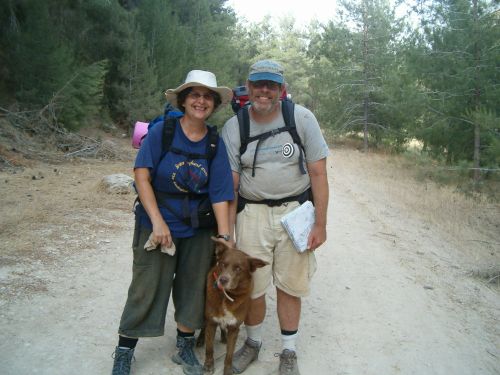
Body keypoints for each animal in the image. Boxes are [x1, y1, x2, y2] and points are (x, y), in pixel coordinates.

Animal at [203, 238, 268, 375]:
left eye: (238, 268)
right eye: (223, 264)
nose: (223, 280)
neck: (226, 295)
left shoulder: (234, 328)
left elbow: (229, 354)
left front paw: (228, 370)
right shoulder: (211, 322)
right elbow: (209, 348)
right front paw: (208, 365)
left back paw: (224, 338)